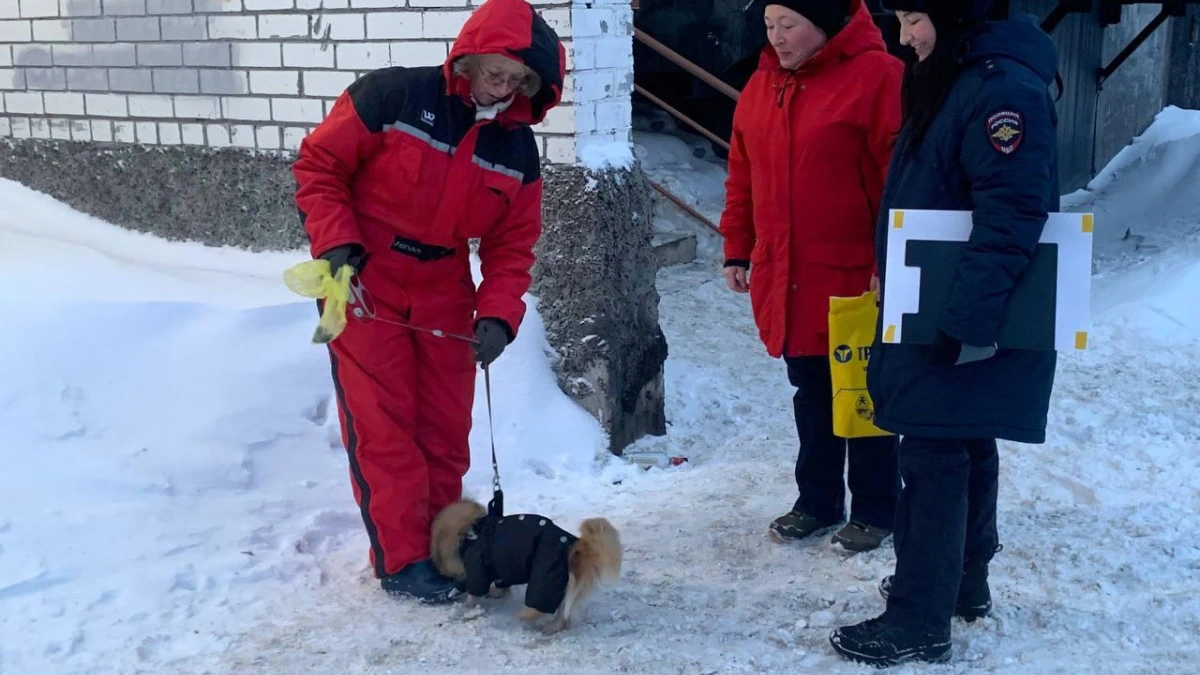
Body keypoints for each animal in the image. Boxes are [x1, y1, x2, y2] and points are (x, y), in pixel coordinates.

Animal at [429, 494, 619, 629]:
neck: (472, 531)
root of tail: (574, 548)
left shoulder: (478, 567)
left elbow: (474, 592)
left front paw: (468, 607)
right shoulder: (502, 568)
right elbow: (503, 585)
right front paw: (497, 593)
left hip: (544, 579)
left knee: (540, 606)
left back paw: (525, 614)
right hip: (563, 586)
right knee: (562, 615)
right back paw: (551, 628)